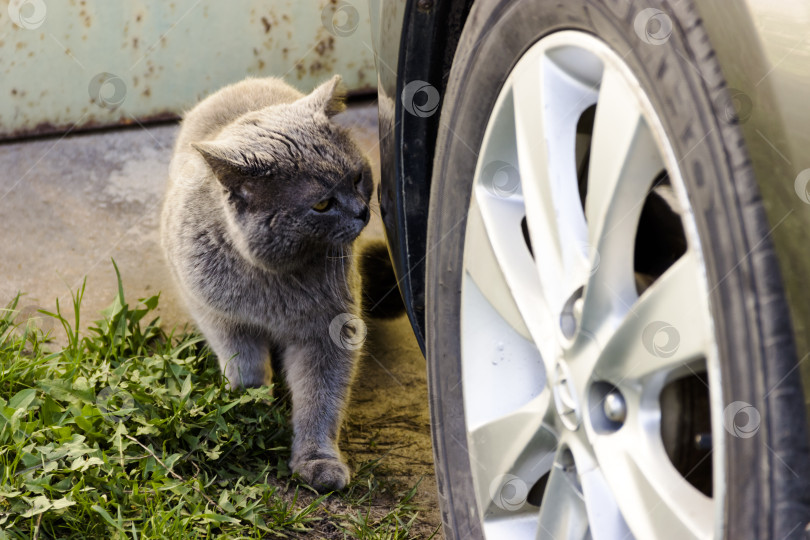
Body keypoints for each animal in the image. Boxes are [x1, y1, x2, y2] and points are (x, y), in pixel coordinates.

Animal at [159, 74, 372, 492]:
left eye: (357, 178)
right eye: (322, 205)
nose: (363, 212)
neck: (273, 278)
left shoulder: (330, 328)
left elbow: (321, 398)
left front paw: (318, 462)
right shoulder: (218, 315)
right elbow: (245, 367)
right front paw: (249, 408)